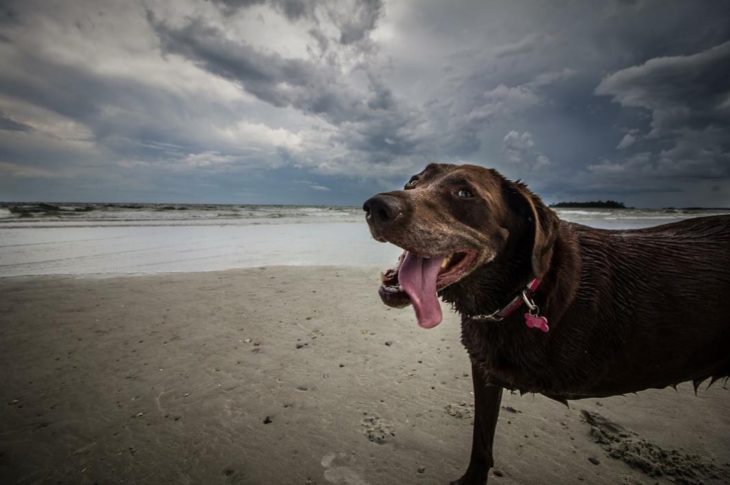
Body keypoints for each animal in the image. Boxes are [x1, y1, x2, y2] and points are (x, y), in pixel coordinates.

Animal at [362, 164, 728, 484]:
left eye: (464, 192)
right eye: (413, 181)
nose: (375, 207)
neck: (520, 292)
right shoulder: (485, 371)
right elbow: (481, 441)